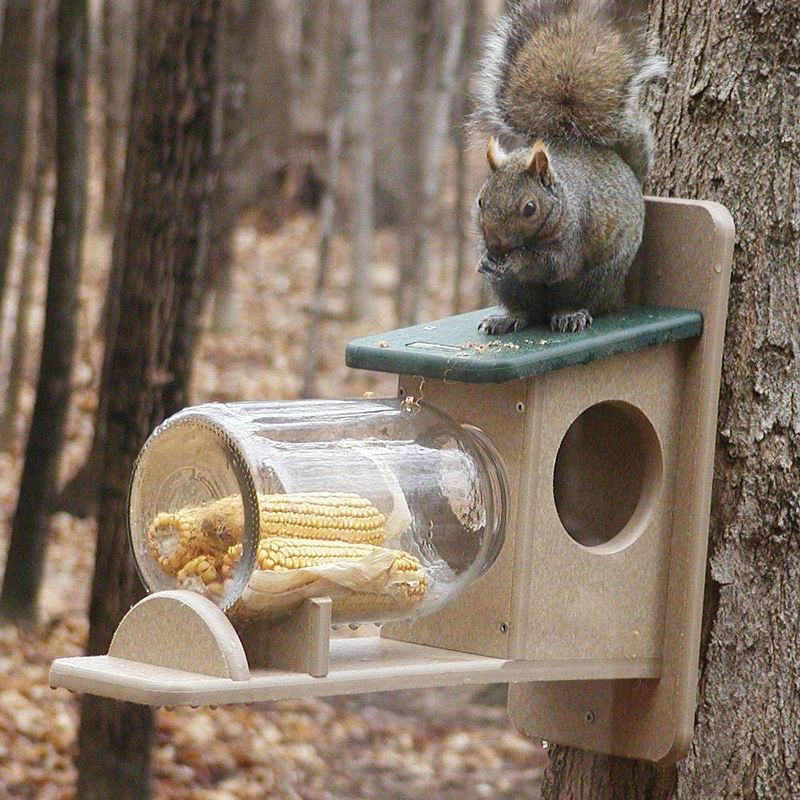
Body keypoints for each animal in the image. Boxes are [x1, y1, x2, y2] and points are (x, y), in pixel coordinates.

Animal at [471, 0, 666, 334]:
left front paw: (516, 261)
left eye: (530, 208)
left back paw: (570, 314)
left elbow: (551, 263)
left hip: (595, 279)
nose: (495, 248)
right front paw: (484, 259)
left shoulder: (573, 233)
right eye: (481, 201)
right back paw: (507, 318)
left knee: (576, 299)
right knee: (526, 309)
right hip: (510, 288)